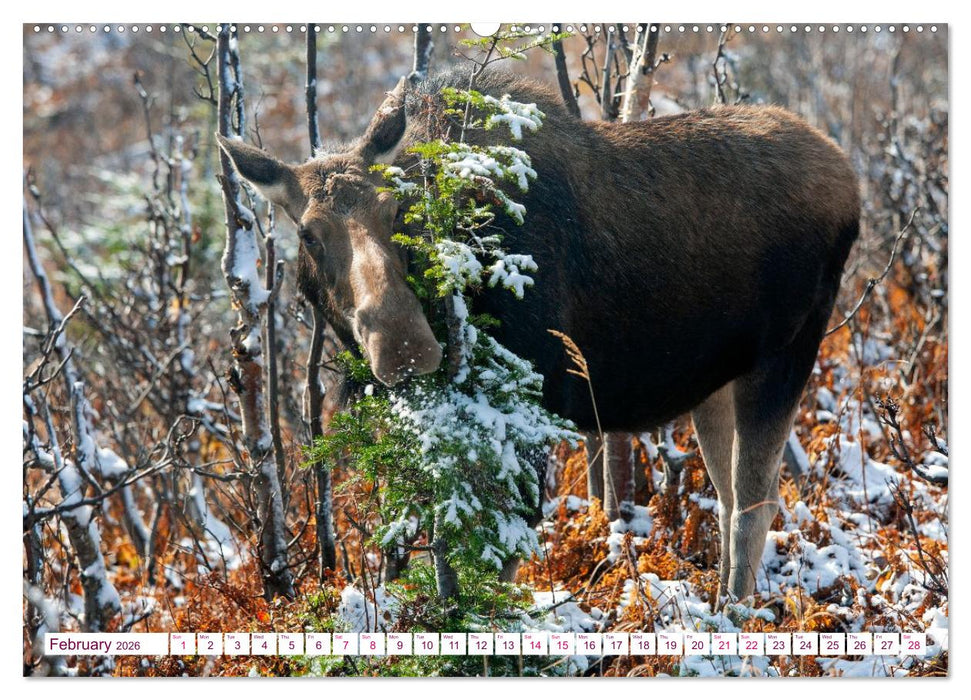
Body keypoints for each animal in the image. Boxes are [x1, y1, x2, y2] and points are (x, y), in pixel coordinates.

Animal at [217, 68, 860, 603]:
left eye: (395, 209)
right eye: (309, 234)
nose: (404, 345)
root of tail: (852, 184)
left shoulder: (531, 405)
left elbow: (501, 560)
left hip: (785, 357)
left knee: (755, 504)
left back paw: (732, 616)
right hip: (717, 382)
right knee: (728, 499)